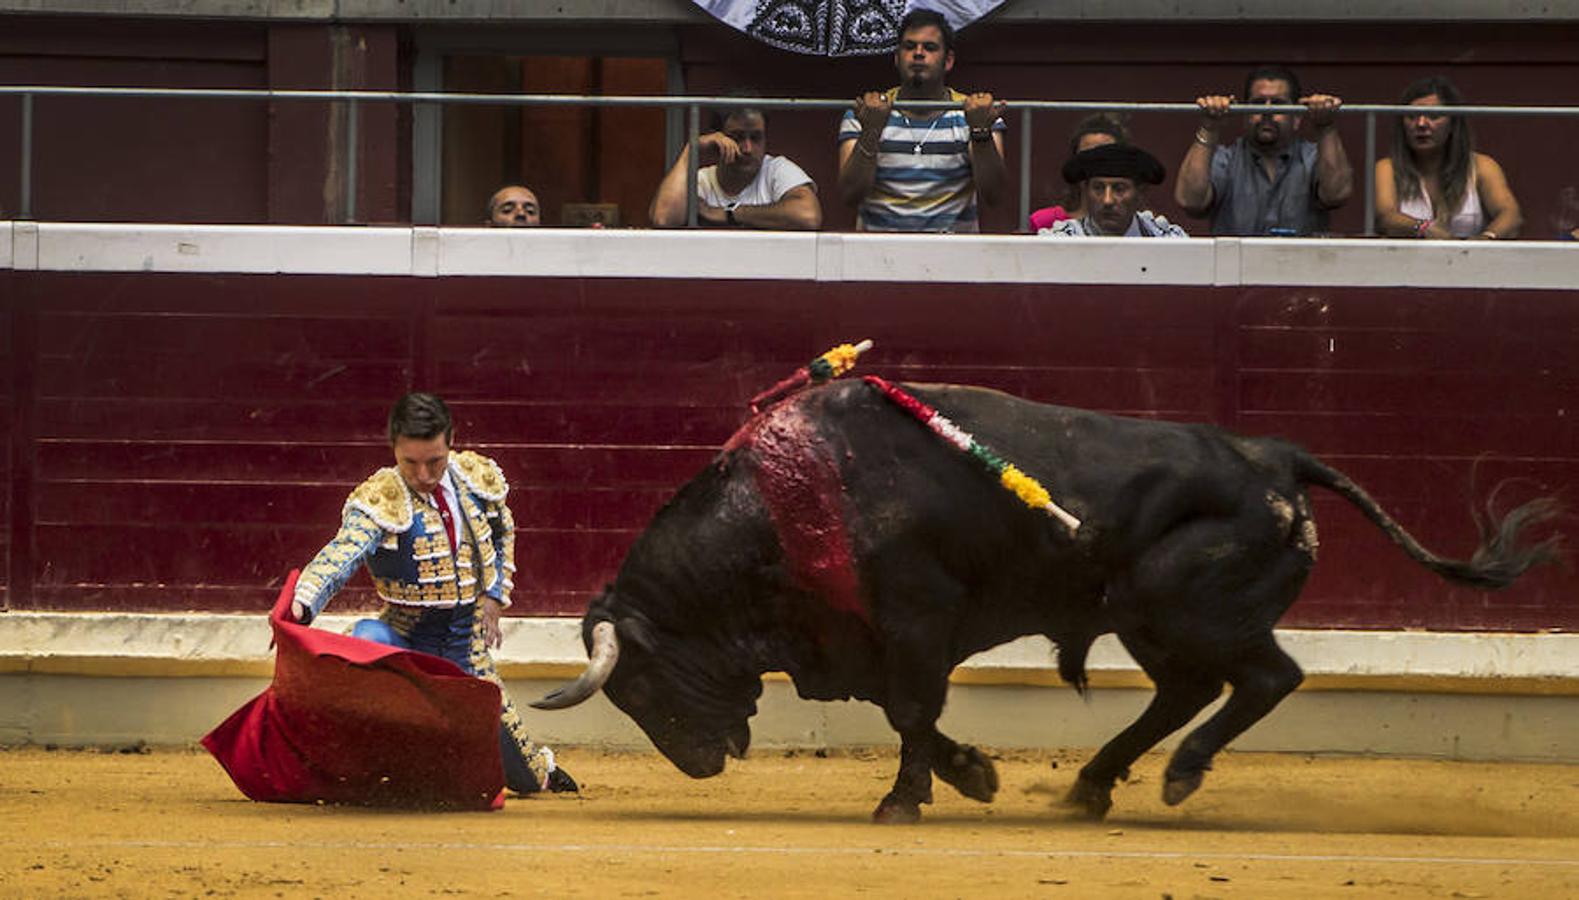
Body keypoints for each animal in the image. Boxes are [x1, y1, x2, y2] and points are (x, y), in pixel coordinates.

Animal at [530, 378, 1553, 821]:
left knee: (1266, 678)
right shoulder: (864, 638)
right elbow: (907, 713)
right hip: (1145, 620)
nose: (699, 765)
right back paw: (1093, 785)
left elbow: (910, 710)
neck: (787, 504)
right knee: (1187, 690)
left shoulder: (914, 620)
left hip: (1183, 605)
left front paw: (904, 800)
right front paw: (969, 775)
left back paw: (1176, 775)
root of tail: (1274, 456)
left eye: (639, 684)